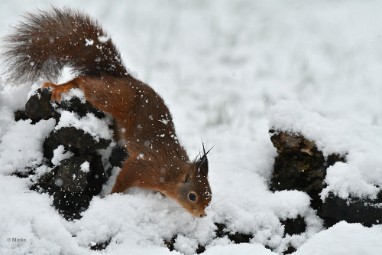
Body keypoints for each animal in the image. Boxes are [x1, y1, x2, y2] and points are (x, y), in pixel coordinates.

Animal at [2, 6, 212, 216]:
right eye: (192, 196)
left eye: (209, 196)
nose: (201, 215)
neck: (172, 172)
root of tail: (122, 76)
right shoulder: (143, 167)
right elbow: (124, 177)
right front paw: (110, 196)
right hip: (108, 97)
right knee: (84, 81)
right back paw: (61, 86)